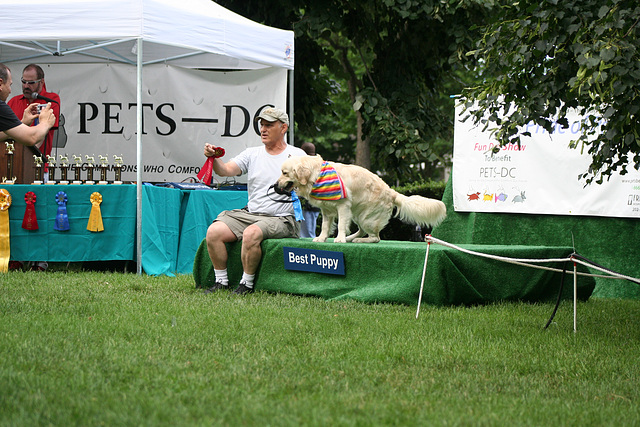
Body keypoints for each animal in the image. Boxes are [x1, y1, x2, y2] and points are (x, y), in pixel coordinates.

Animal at [274, 155, 444, 242]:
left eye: (284, 173)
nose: (275, 185)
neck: (317, 175)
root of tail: (392, 192)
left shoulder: (343, 206)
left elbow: (341, 225)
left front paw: (340, 238)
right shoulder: (326, 210)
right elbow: (325, 226)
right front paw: (322, 238)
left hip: (366, 217)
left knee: (376, 238)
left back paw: (358, 240)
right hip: (358, 214)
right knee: (363, 232)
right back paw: (351, 238)